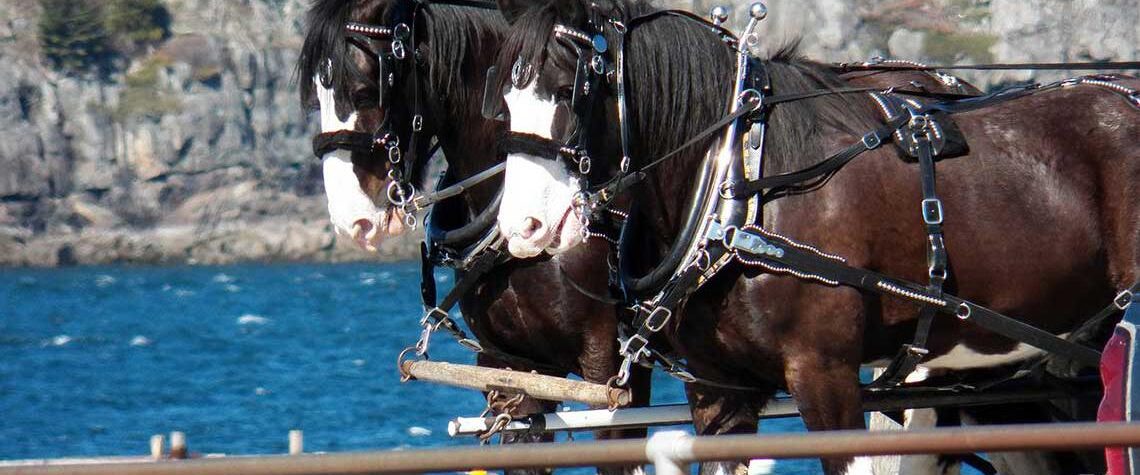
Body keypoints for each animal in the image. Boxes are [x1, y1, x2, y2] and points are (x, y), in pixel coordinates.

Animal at [489, 0, 1140, 473]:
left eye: (572, 88)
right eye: (503, 102)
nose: (522, 227)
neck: (742, 182)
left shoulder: (825, 374)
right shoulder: (719, 392)